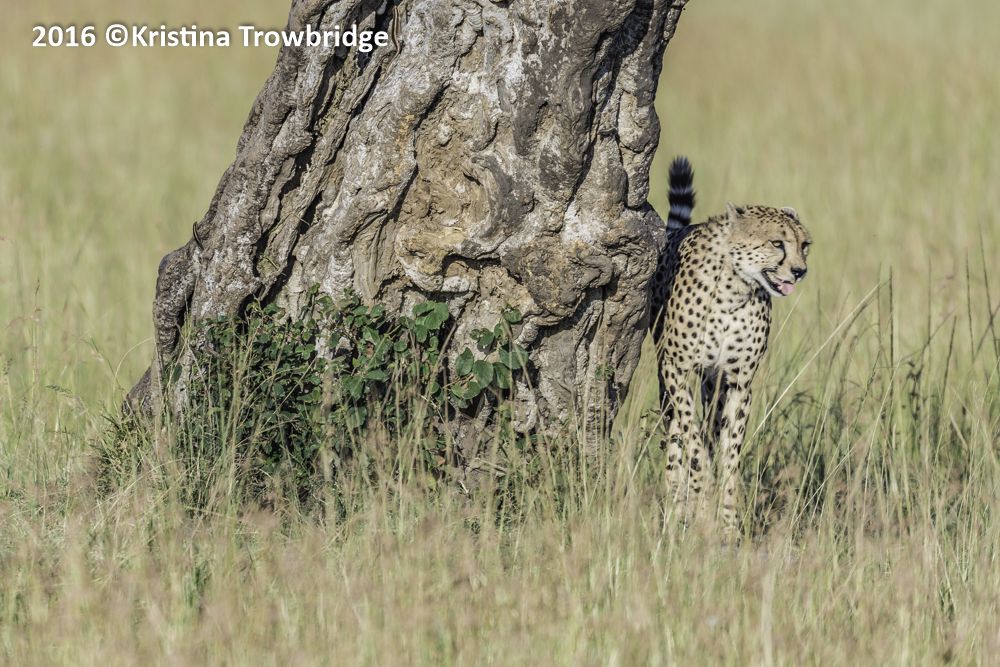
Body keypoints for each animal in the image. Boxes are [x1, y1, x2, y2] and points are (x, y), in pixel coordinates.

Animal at [650, 156, 812, 532]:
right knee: (675, 437)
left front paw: (726, 520)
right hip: (668, 378)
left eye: (804, 245)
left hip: (714, 382)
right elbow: (693, 443)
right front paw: (701, 495)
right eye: (776, 243)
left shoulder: (739, 381)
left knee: (709, 427)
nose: (800, 271)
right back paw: (676, 509)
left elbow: (729, 452)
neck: (734, 289)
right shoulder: (676, 369)